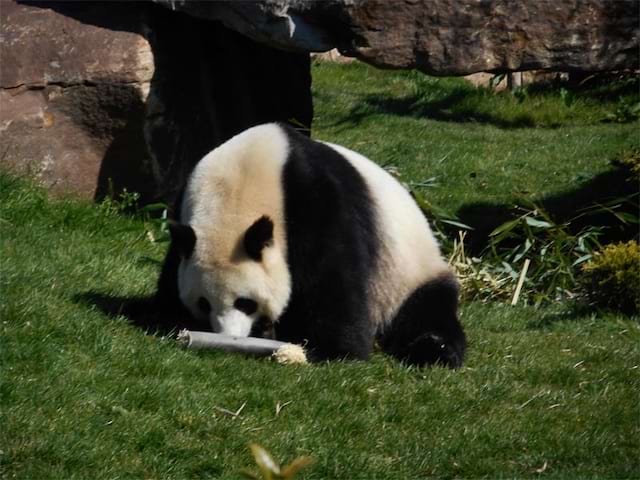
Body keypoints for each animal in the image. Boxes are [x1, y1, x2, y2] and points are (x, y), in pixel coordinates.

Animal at [155, 124, 464, 368]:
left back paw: (436, 349)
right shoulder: (184, 213)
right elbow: (172, 273)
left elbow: (332, 278)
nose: (230, 336)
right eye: (204, 303)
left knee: (427, 308)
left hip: (407, 271)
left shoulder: (315, 200)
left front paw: (335, 350)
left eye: (245, 303)